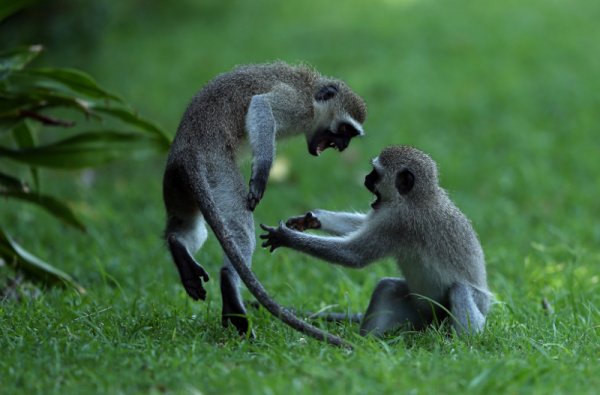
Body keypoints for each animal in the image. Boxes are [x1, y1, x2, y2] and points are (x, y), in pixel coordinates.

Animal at [163, 60, 366, 348]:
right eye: (345, 131)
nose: (343, 147)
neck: (311, 91)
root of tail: (187, 153)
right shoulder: (297, 104)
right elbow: (261, 104)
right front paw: (261, 173)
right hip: (217, 173)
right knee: (240, 231)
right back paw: (229, 286)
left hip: (174, 182)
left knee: (186, 226)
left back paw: (179, 248)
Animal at [260, 145, 490, 338]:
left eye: (375, 174)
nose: (364, 178)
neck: (417, 197)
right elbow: (361, 225)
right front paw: (313, 219)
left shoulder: (398, 222)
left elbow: (354, 254)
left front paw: (286, 237)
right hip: (418, 312)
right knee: (386, 286)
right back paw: (368, 341)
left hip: (475, 308)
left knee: (459, 290)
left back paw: (462, 341)